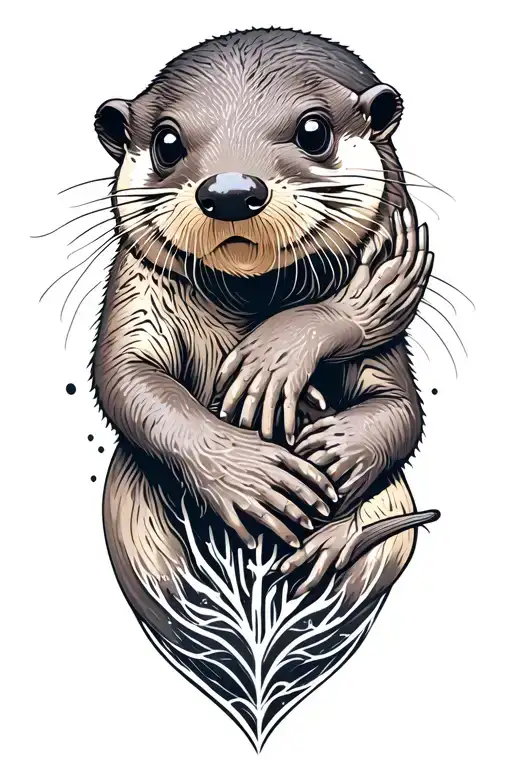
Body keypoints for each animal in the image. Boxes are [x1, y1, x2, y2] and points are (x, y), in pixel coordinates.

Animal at [92, 29, 438, 750]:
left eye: (313, 131)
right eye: (167, 142)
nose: (229, 190)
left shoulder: (387, 352)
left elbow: (399, 408)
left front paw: (291, 376)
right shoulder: (135, 294)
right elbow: (128, 382)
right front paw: (247, 475)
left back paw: (322, 549)